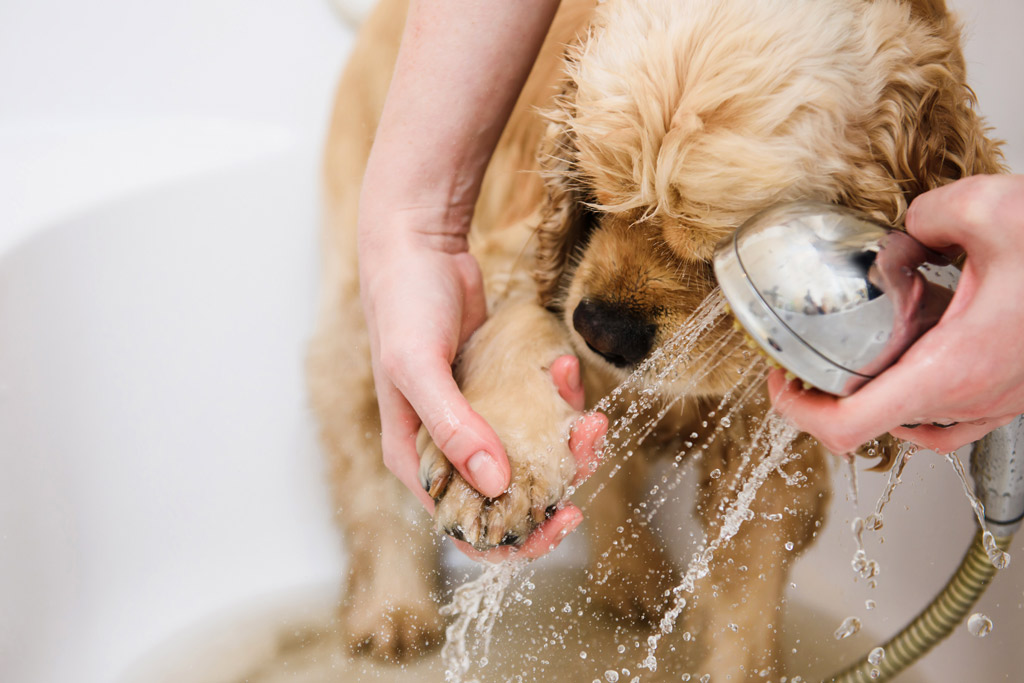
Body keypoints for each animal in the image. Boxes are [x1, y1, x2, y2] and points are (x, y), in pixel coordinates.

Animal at [307, 0, 1003, 675]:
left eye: (722, 249)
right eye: (593, 190)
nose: (600, 332)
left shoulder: (771, 443)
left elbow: (745, 604)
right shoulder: (517, 253)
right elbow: (516, 326)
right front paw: (496, 474)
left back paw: (634, 580)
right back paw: (394, 611)